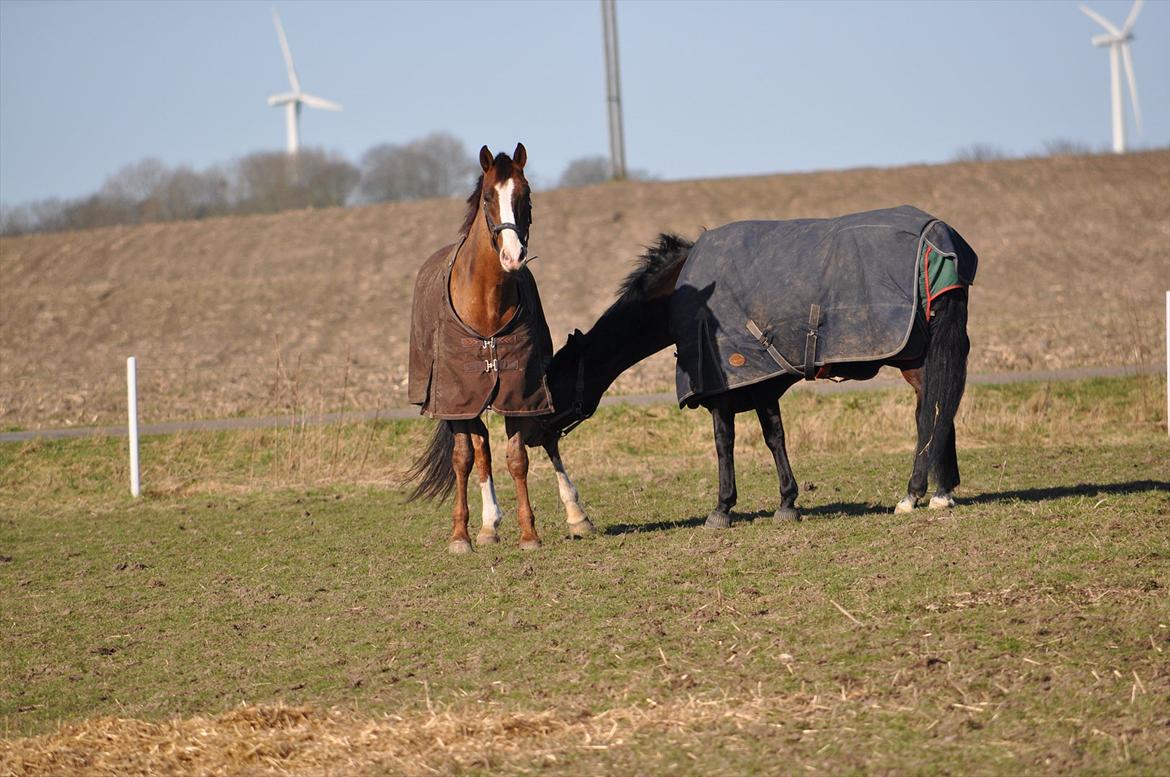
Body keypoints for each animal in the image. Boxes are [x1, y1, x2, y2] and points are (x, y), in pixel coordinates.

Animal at [407, 143, 599, 552]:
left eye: (526, 196)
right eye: (487, 197)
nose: (513, 257)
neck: (486, 306)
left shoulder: (519, 394)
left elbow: (517, 458)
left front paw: (529, 534)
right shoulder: (457, 401)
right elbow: (464, 458)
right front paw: (460, 536)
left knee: (545, 440)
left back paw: (576, 516)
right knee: (479, 450)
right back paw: (487, 525)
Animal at [542, 205, 973, 524]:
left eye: (553, 377)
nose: (537, 432)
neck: (682, 294)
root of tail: (937, 241)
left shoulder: (726, 386)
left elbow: (727, 441)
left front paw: (723, 507)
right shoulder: (762, 384)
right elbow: (774, 437)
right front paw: (786, 502)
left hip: (918, 360)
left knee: (931, 415)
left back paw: (913, 495)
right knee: (938, 410)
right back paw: (941, 494)